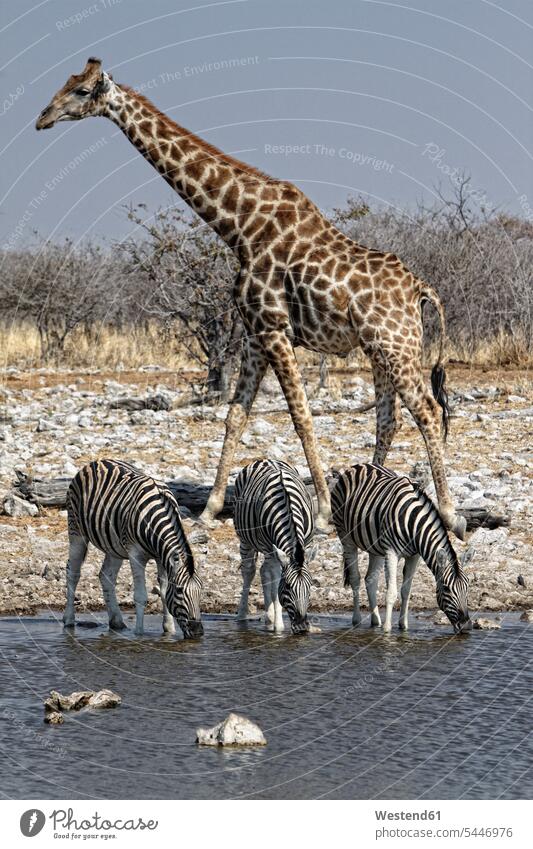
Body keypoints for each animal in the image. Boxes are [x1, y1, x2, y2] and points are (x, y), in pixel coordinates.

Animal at [35, 59, 466, 540]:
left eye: (82, 91)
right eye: (65, 84)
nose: (42, 118)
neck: (239, 226)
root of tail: (420, 289)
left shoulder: (275, 328)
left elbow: (301, 416)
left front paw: (320, 511)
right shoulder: (255, 333)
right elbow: (236, 415)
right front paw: (209, 508)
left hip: (396, 346)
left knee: (427, 410)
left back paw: (451, 514)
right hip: (380, 350)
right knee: (389, 418)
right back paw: (372, 494)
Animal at [62, 460, 204, 640]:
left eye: (201, 590)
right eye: (179, 590)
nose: (198, 632)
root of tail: (96, 462)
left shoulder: (162, 557)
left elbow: (164, 591)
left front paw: (169, 630)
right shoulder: (135, 554)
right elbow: (141, 596)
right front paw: (139, 634)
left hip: (113, 545)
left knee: (106, 575)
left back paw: (117, 622)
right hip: (76, 532)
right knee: (73, 573)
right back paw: (68, 620)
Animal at [234, 460, 316, 632]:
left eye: (310, 586)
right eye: (288, 587)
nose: (302, 627)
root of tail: (264, 459)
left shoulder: (306, 544)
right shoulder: (270, 548)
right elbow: (276, 580)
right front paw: (278, 626)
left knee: (263, 571)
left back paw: (269, 617)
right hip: (246, 540)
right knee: (250, 571)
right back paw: (243, 615)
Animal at [330, 460, 472, 632]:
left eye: (468, 587)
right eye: (446, 588)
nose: (466, 626)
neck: (414, 525)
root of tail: (359, 465)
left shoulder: (414, 556)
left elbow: (406, 591)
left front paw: (403, 626)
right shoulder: (391, 552)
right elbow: (391, 593)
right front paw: (387, 630)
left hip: (375, 547)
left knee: (370, 579)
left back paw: (375, 621)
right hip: (345, 535)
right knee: (355, 578)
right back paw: (357, 620)